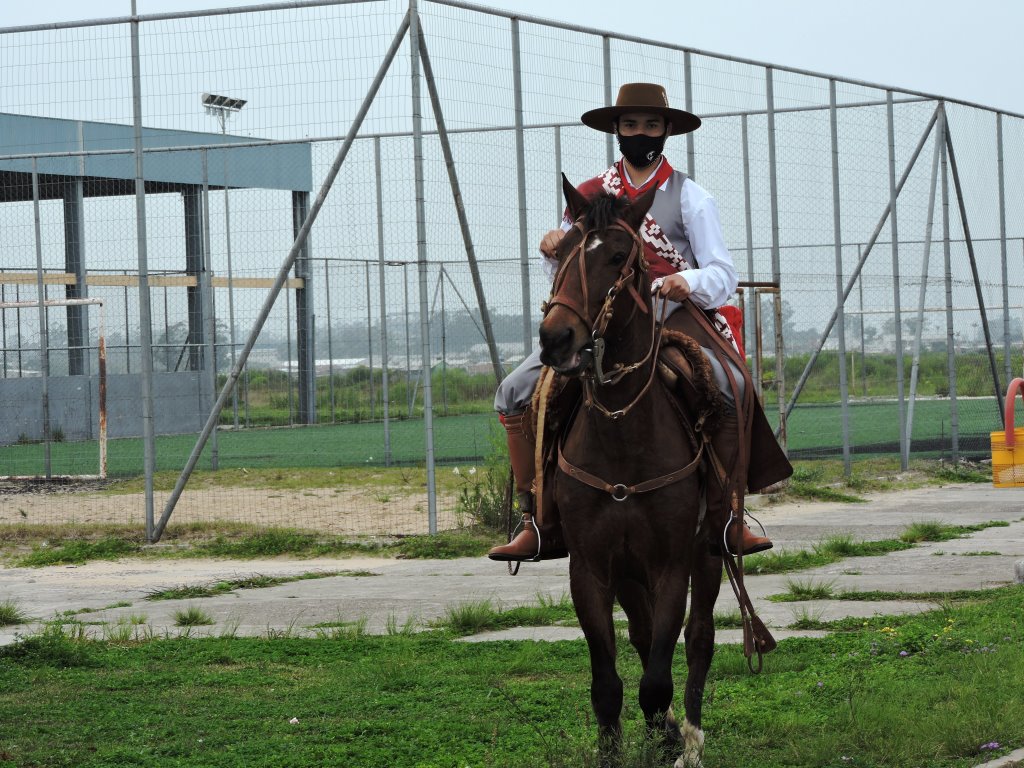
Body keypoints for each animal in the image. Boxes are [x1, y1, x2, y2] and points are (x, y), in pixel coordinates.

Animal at [536, 177, 720, 765]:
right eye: (562, 254)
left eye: (618, 256)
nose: (555, 340)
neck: (622, 436)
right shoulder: (591, 569)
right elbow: (608, 684)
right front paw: (620, 747)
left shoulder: (672, 566)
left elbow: (658, 676)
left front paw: (671, 735)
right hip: (628, 572)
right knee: (640, 636)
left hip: (710, 551)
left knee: (699, 636)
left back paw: (690, 737)